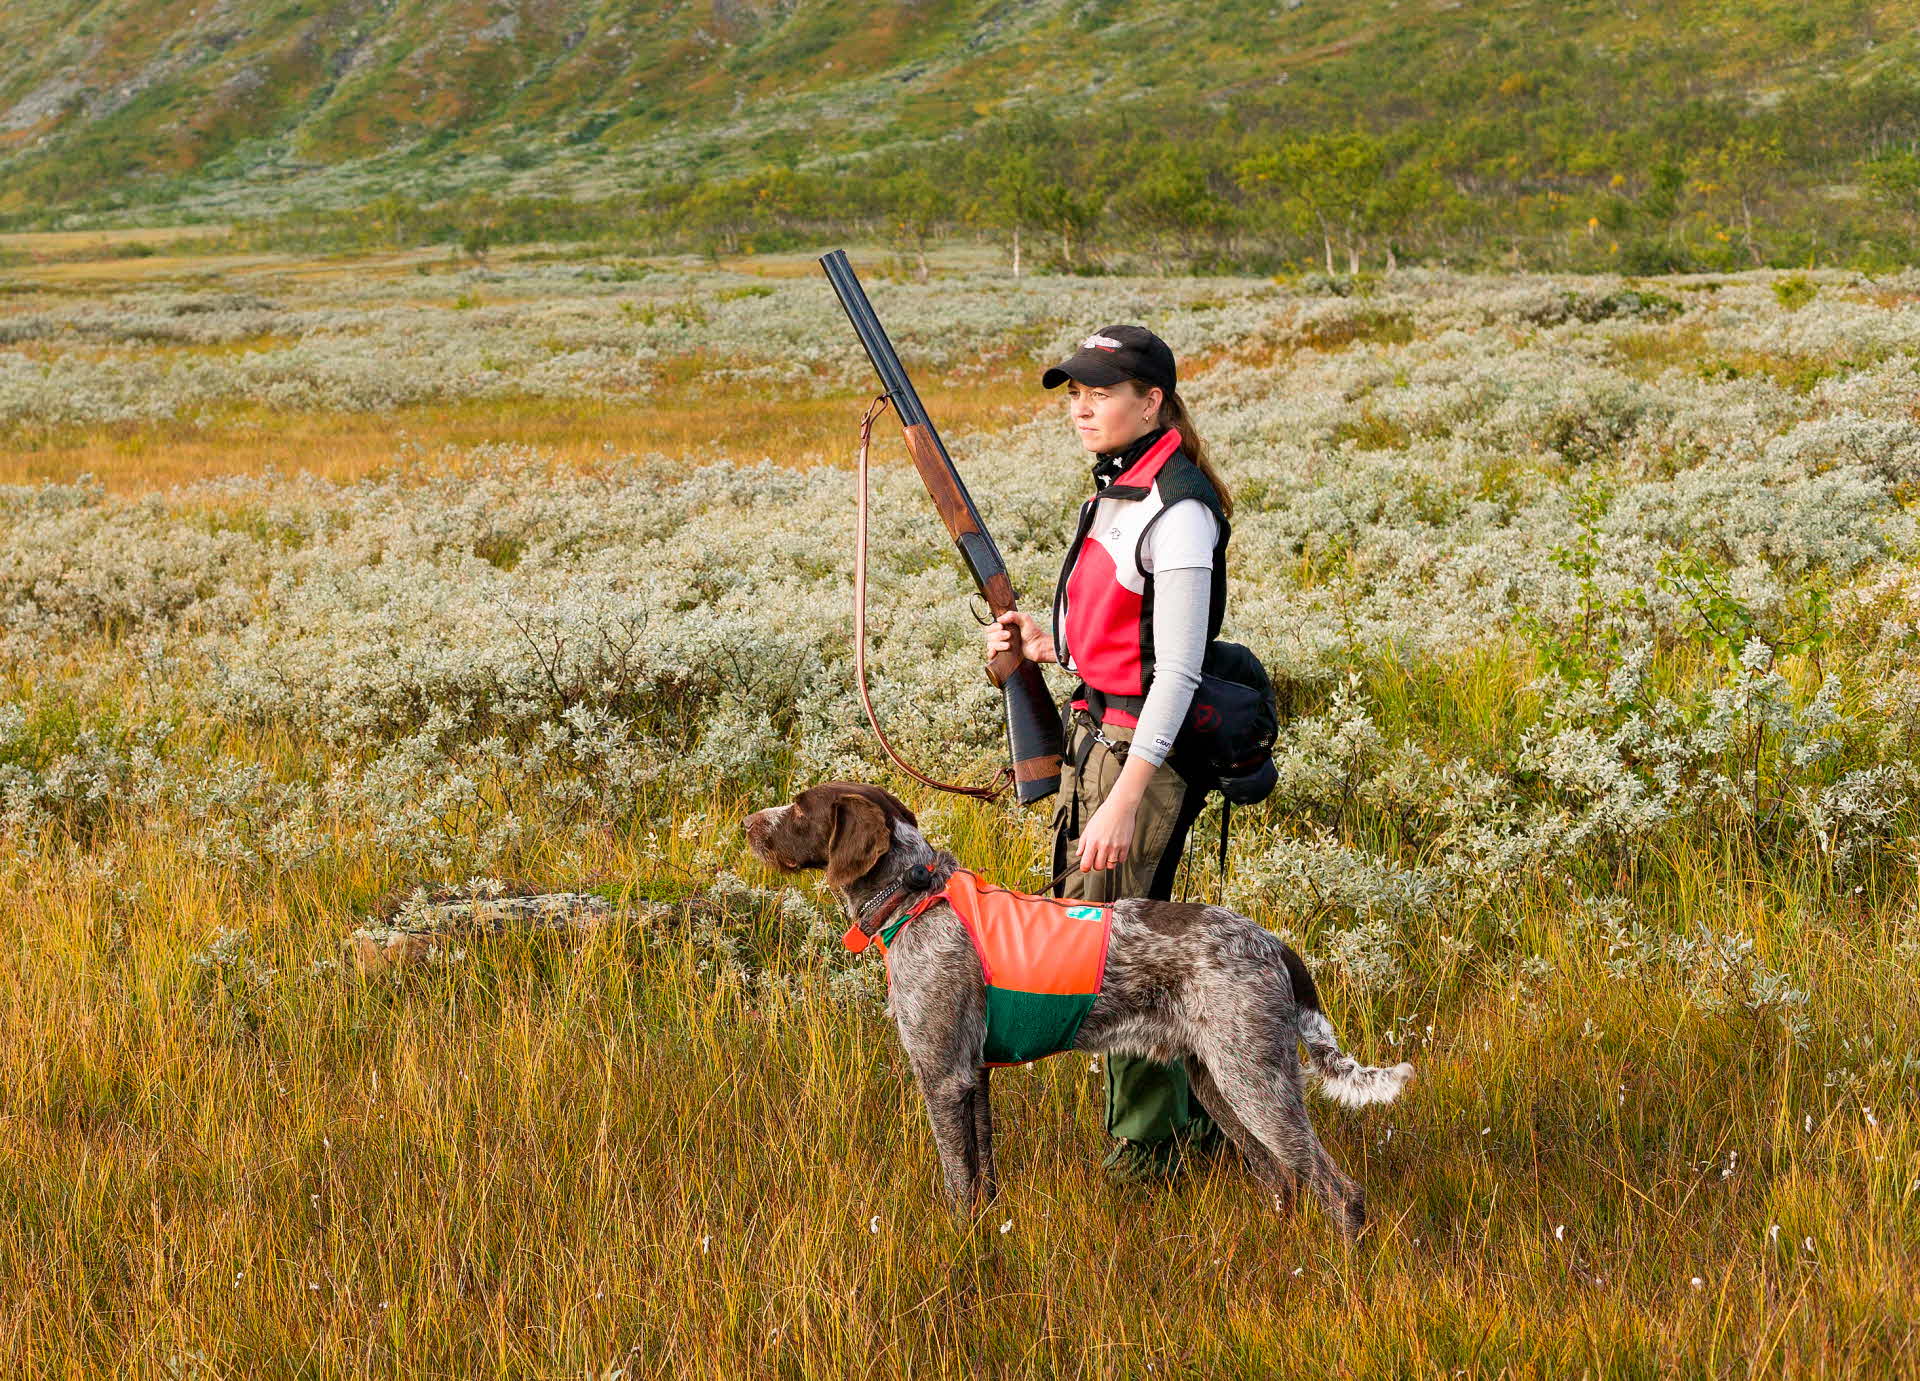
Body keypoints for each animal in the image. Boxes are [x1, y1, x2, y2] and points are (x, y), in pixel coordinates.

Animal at [737, 783, 1413, 1236]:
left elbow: (959, 1182)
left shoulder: (943, 1077)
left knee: (1338, 1190)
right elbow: (983, 1176)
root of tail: (1271, 943)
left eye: (800, 809)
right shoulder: (974, 1076)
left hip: (1255, 1080)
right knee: (1279, 1177)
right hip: (1220, 1078)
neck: (917, 895)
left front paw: (959, 1249)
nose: (746, 823)